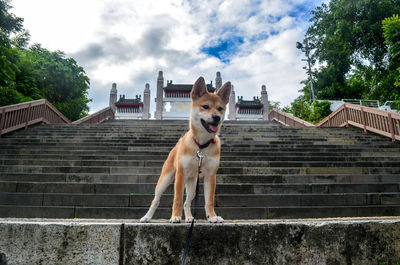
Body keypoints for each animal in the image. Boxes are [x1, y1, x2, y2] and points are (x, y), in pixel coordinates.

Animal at [140, 76, 231, 223]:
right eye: (205, 106)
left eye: (220, 108)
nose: (216, 117)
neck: (201, 145)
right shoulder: (180, 174)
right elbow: (177, 199)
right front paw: (175, 217)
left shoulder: (211, 176)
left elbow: (209, 200)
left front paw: (212, 217)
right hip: (165, 179)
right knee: (156, 200)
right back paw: (147, 217)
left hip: (192, 184)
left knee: (187, 203)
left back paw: (189, 218)